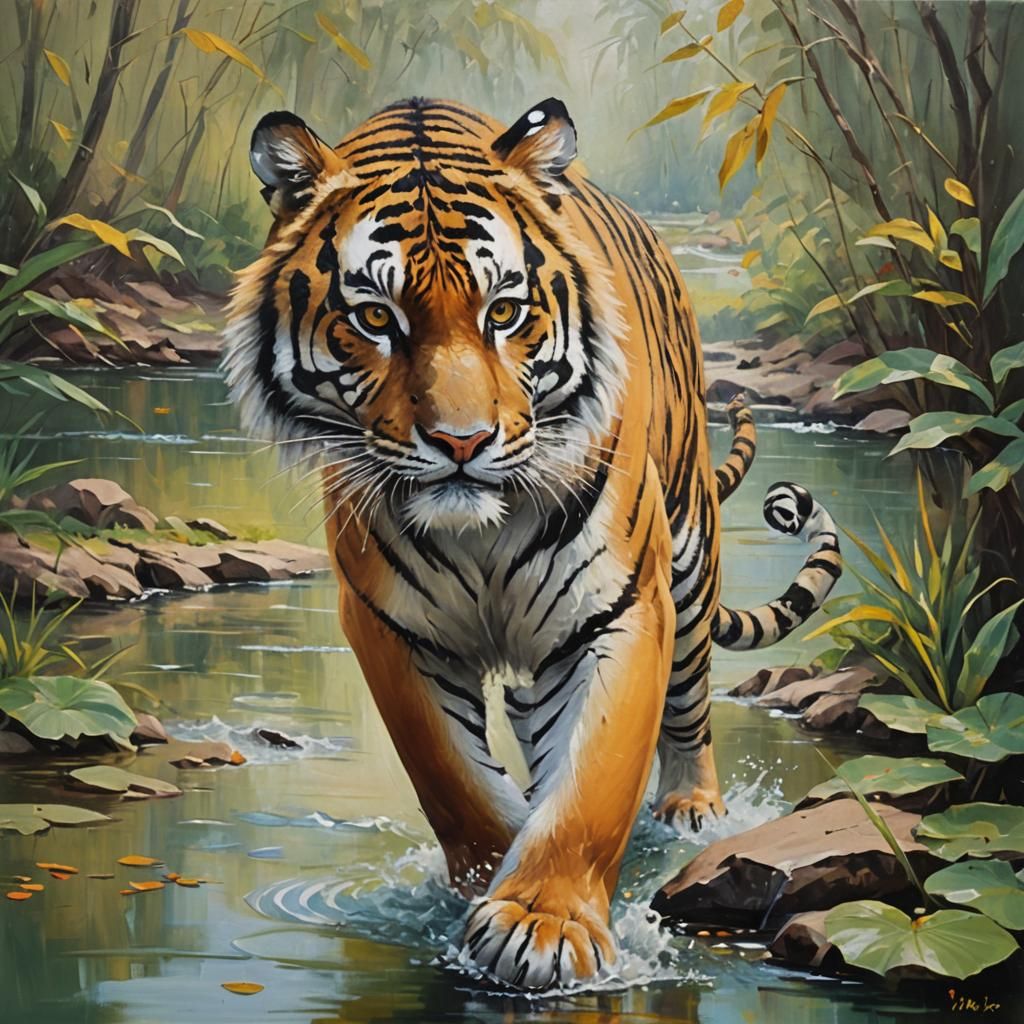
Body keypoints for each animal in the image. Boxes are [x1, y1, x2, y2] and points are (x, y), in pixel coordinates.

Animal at [224, 96, 842, 990]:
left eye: (504, 312)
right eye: (375, 318)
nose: (462, 442)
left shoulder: (622, 606)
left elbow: (595, 781)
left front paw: (545, 926)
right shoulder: (389, 625)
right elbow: (455, 781)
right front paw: (490, 874)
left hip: (689, 559)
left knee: (690, 707)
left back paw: (691, 809)